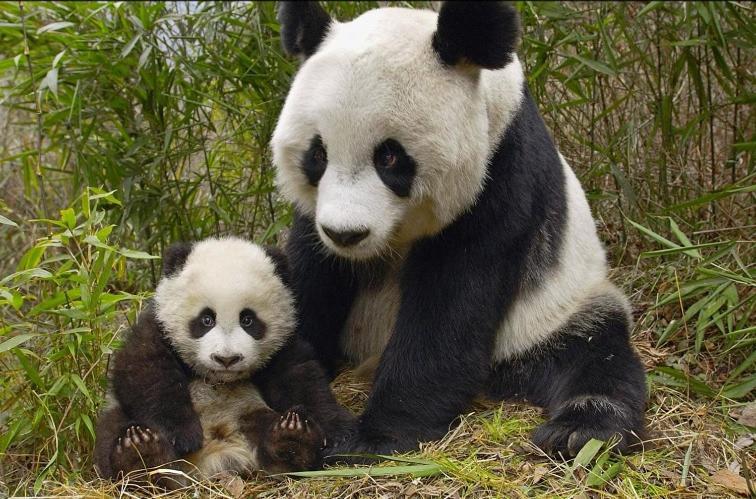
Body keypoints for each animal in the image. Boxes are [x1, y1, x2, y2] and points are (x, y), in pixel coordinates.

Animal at [272, 0, 644, 460]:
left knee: (595, 354)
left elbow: (451, 306)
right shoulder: (314, 220)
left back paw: (579, 430)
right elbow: (310, 278)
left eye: (389, 157)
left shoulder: (500, 176)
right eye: (318, 155)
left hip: (557, 310)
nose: (346, 234)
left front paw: (372, 438)